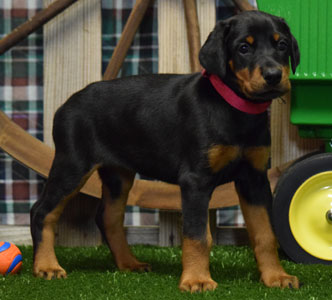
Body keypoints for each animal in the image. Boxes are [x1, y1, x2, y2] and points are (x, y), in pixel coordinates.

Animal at [30, 11, 300, 292]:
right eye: (243, 48)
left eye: (281, 45)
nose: (273, 75)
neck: (236, 110)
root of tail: (65, 106)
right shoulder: (195, 180)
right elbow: (197, 235)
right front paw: (197, 279)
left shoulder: (254, 179)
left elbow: (265, 233)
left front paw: (276, 277)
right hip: (72, 165)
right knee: (42, 211)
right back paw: (47, 266)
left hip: (118, 175)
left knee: (108, 217)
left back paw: (129, 263)